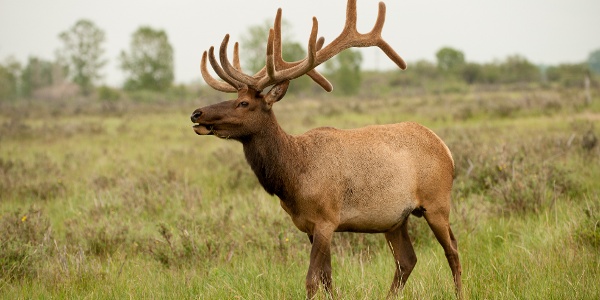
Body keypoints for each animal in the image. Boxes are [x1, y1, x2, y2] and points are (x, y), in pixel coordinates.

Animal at [190, 0, 462, 298]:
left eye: (244, 103)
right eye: (236, 98)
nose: (197, 113)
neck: (292, 178)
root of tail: (445, 148)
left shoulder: (326, 219)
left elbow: (312, 279)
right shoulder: (310, 225)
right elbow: (327, 277)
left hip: (437, 202)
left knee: (453, 250)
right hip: (395, 219)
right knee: (407, 260)